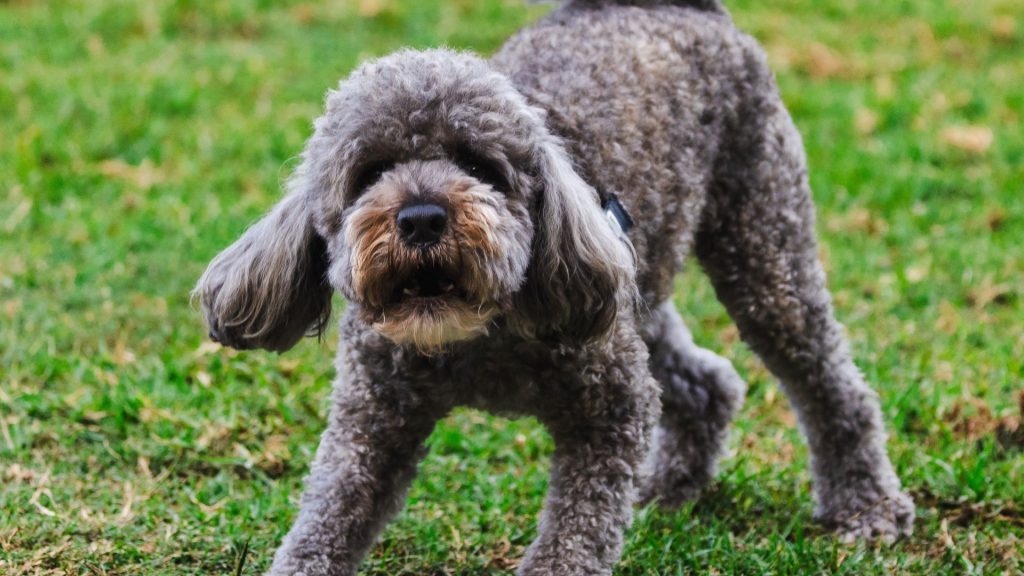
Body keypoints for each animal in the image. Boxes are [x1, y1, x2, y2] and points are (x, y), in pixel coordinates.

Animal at [195, 1, 917, 569]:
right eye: (370, 171)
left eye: (478, 165)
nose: (422, 216)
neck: (473, 339)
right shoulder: (370, 428)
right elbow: (323, 527)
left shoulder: (610, 412)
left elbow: (573, 537)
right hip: (631, 287)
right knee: (707, 380)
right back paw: (674, 482)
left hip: (760, 248)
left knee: (828, 382)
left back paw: (868, 507)